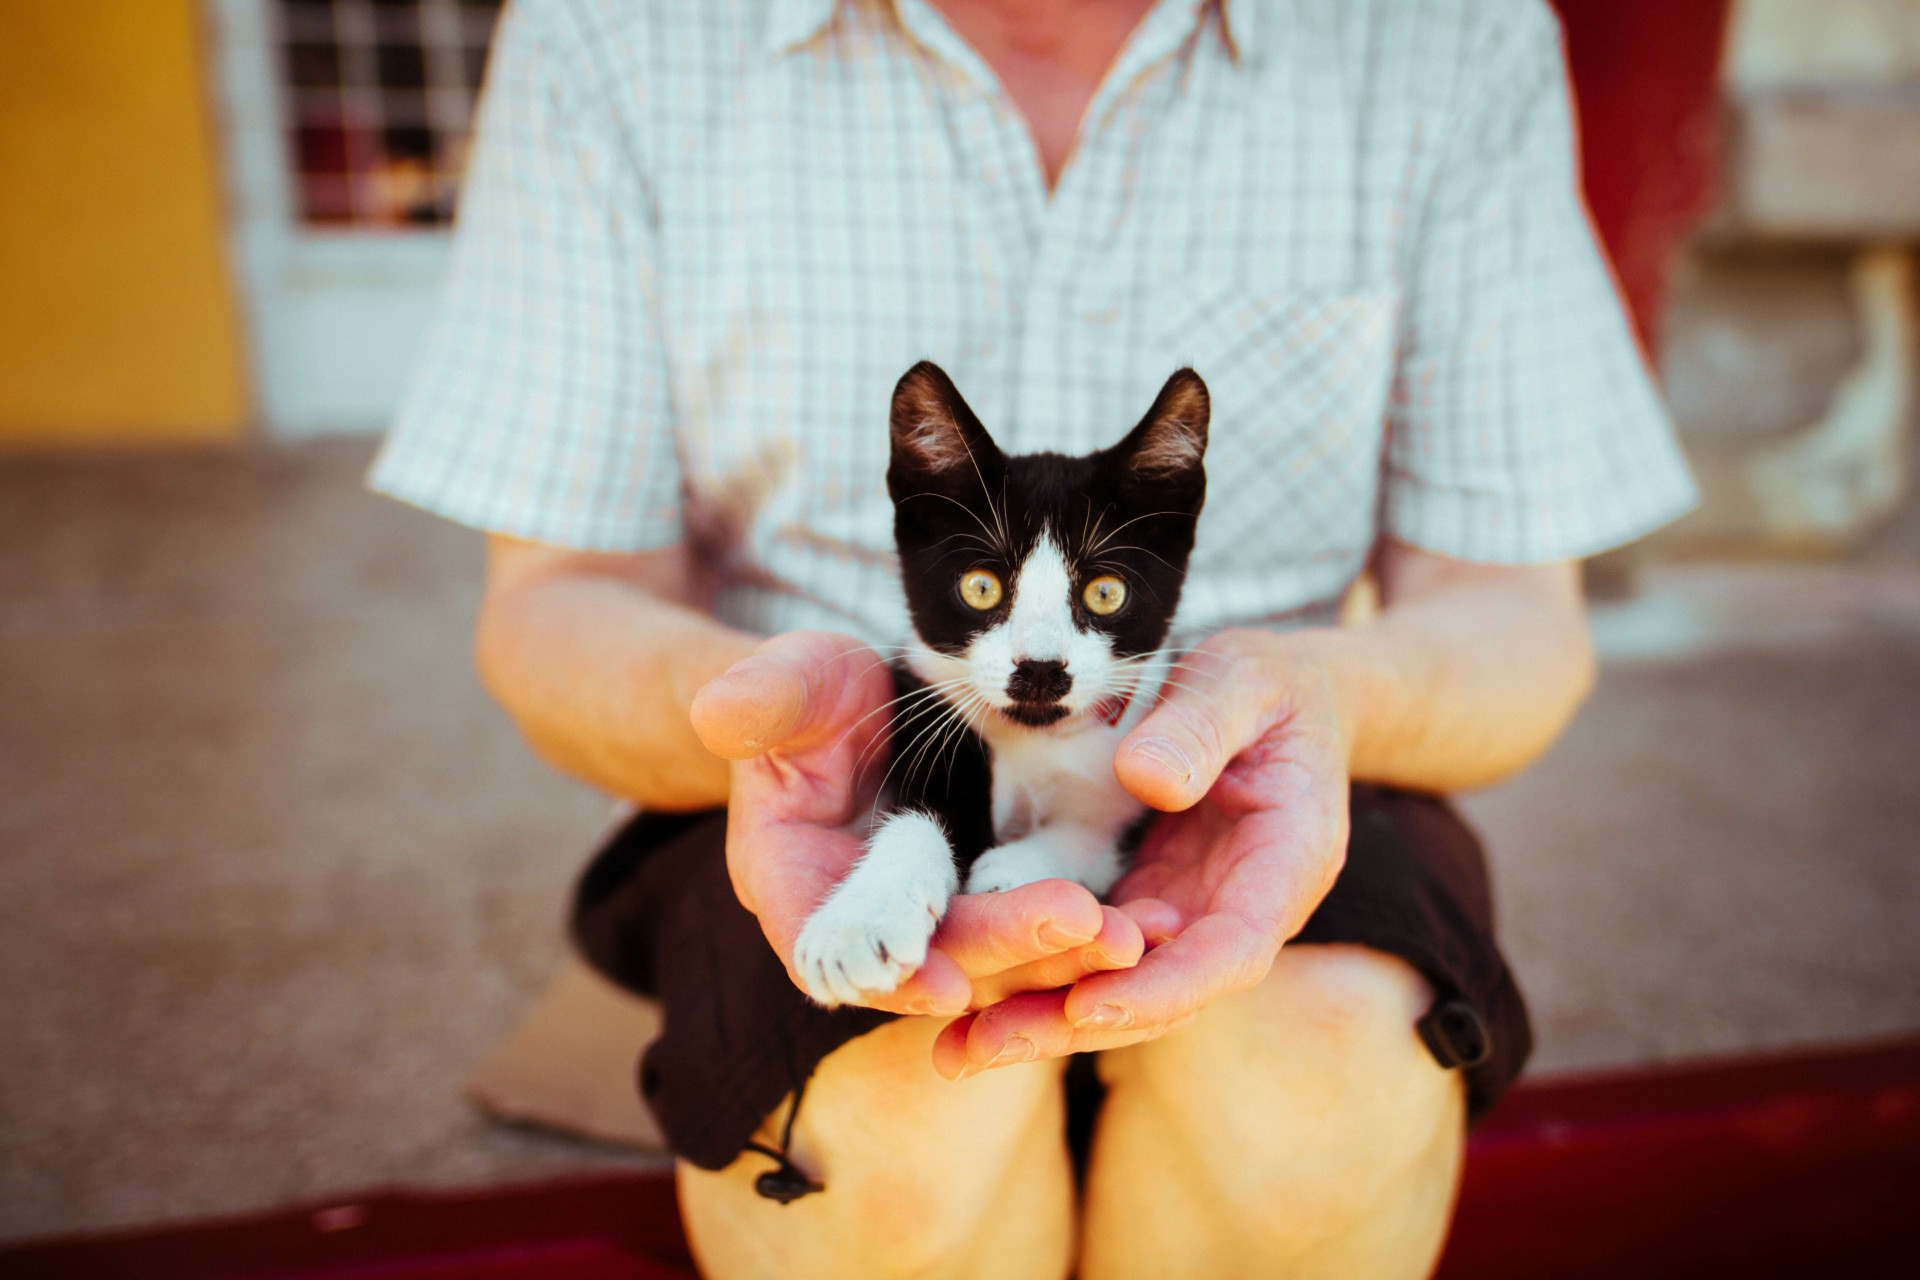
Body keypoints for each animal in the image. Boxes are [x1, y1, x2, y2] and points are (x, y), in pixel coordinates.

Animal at [787, 362, 1205, 1013]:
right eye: (981, 587)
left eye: (1105, 592)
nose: (1040, 667)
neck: (1035, 739)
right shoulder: (924, 706)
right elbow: (917, 815)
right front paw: (858, 923)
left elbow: (1097, 830)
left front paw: (1017, 866)